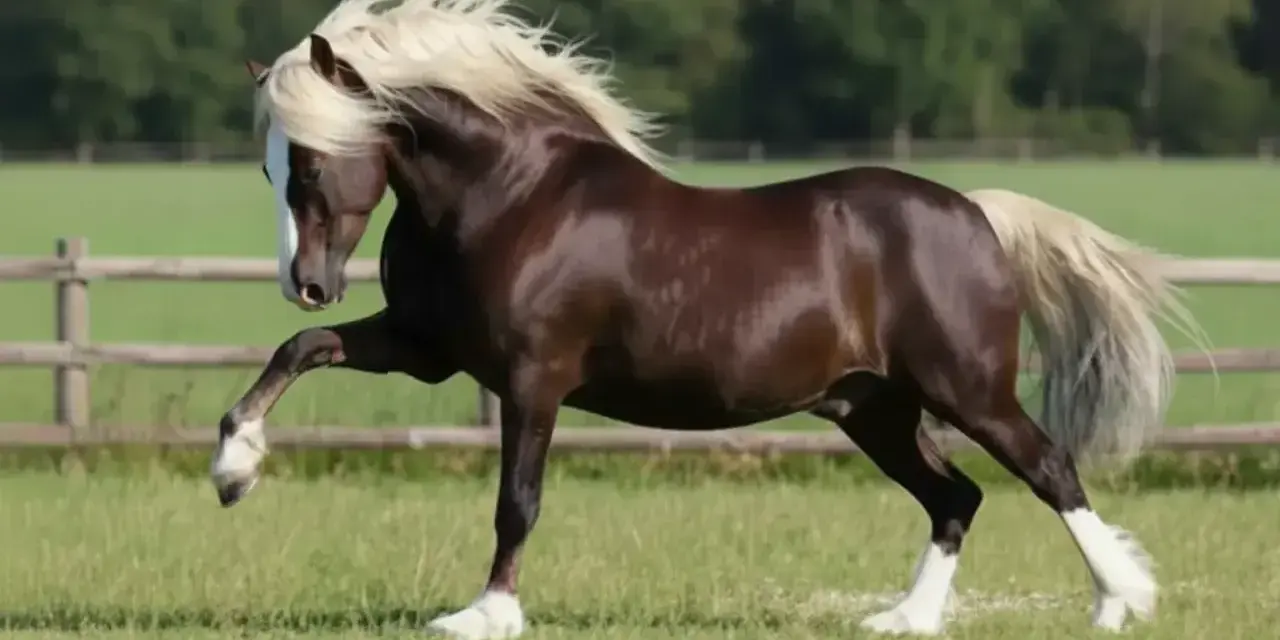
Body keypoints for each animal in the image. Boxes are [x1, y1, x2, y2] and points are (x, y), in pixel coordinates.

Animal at [209, 0, 1205, 637]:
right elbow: (300, 351)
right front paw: (233, 471)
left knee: (1049, 469)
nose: (306, 281)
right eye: (268, 167)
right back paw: (904, 619)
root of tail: (977, 215)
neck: (515, 195)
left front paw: (484, 615)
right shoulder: (425, 350)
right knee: (956, 496)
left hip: (968, 390)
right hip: (873, 407)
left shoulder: (533, 379)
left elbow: (517, 501)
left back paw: (1119, 601)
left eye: (312, 161)